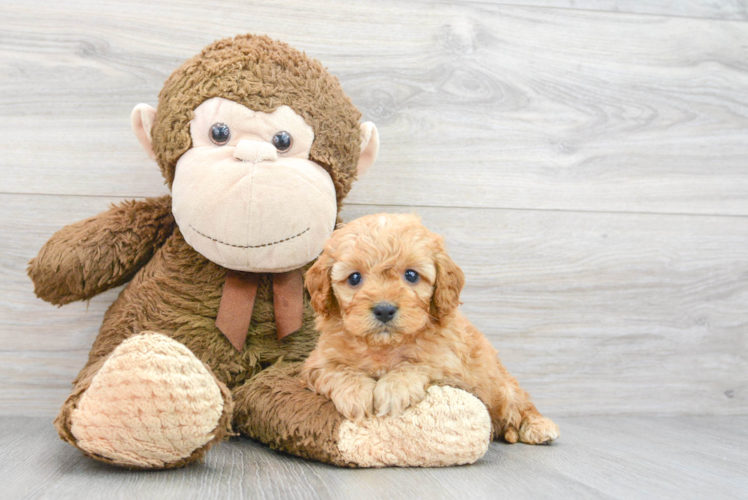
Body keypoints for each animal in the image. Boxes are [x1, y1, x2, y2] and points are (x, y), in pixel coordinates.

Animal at [300, 213, 560, 444]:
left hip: (503, 389)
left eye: (411, 275)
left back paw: (539, 427)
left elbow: (417, 364)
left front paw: (393, 389)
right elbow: (336, 370)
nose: (384, 310)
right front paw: (356, 394)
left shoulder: (450, 366)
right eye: (354, 278)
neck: (384, 346)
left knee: (521, 404)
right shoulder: (317, 362)